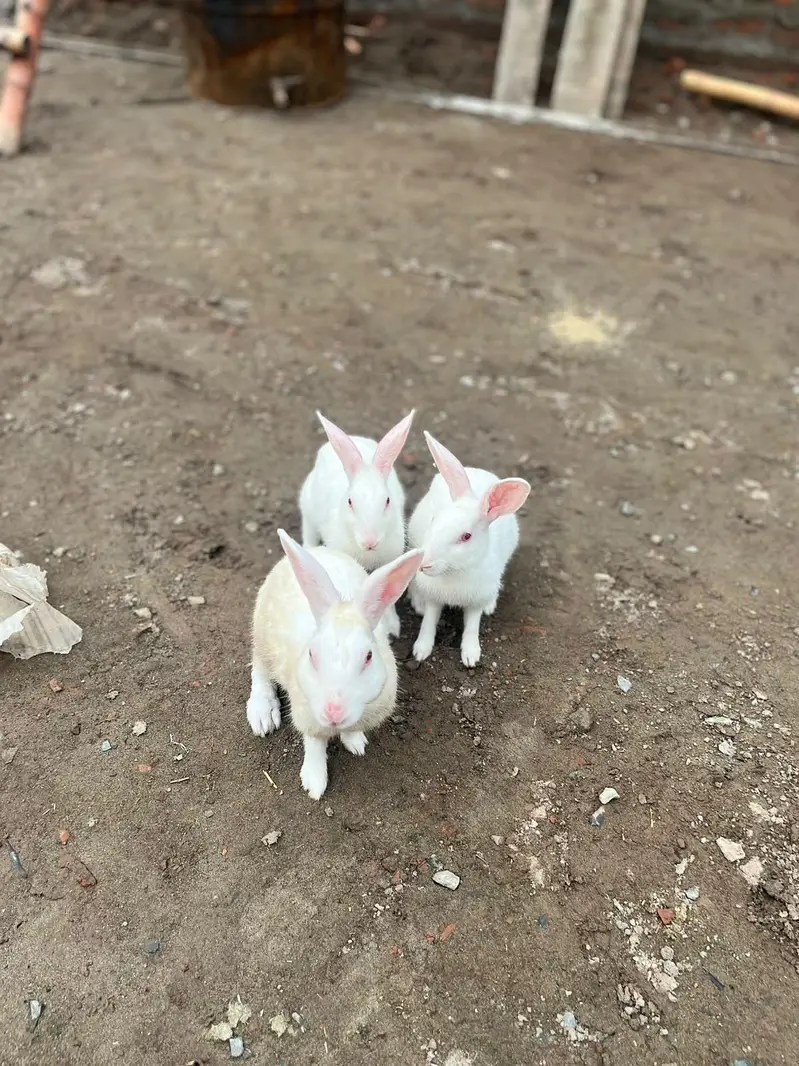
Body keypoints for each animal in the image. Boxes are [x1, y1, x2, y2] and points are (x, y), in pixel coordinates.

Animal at [246, 528, 423, 800]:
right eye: (312, 654)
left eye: (368, 656)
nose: (334, 712)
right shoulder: (308, 717)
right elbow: (314, 744)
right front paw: (314, 782)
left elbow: (350, 732)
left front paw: (356, 743)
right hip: (263, 639)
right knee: (260, 673)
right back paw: (263, 716)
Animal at [407, 431, 531, 668]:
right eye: (434, 519)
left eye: (466, 536)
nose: (424, 564)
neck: (455, 571)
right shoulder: (434, 598)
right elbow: (429, 621)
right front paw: (421, 651)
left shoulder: (475, 602)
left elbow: (472, 626)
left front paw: (471, 656)